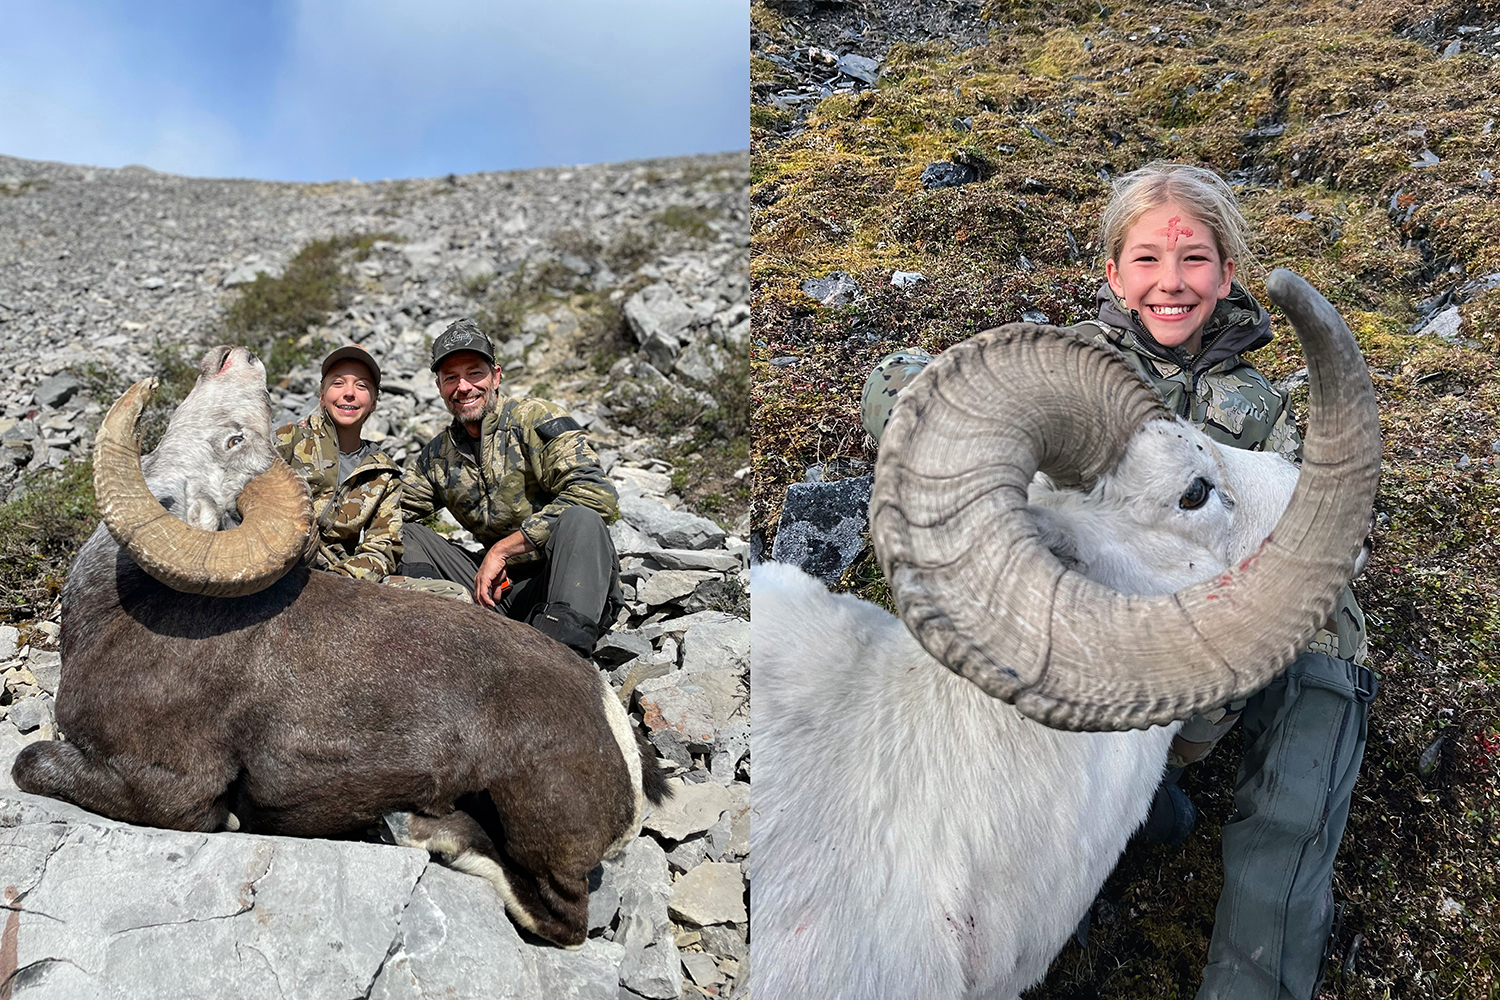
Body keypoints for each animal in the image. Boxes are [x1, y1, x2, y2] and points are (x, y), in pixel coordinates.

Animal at [11, 345, 668, 948]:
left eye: (232, 440)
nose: (235, 357)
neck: (118, 612)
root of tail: (615, 727)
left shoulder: (171, 789)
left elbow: (30, 763)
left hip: (537, 825)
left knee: (564, 921)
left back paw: (422, 834)